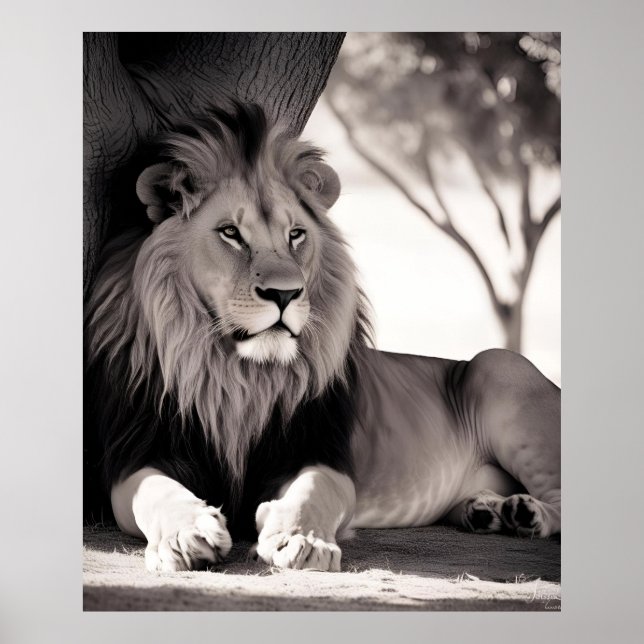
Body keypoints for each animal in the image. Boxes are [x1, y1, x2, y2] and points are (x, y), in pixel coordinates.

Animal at [85, 102, 560, 573]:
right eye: (231, 233)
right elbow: (156, 492)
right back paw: (486, 510)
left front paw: (302, 540)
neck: (239, 377)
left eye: (296, 235)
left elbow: (314, 490)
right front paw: (187, 535)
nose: (284, 293)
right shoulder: (134, 456)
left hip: (497, 364)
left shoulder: (320, 450)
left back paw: (525, 513)